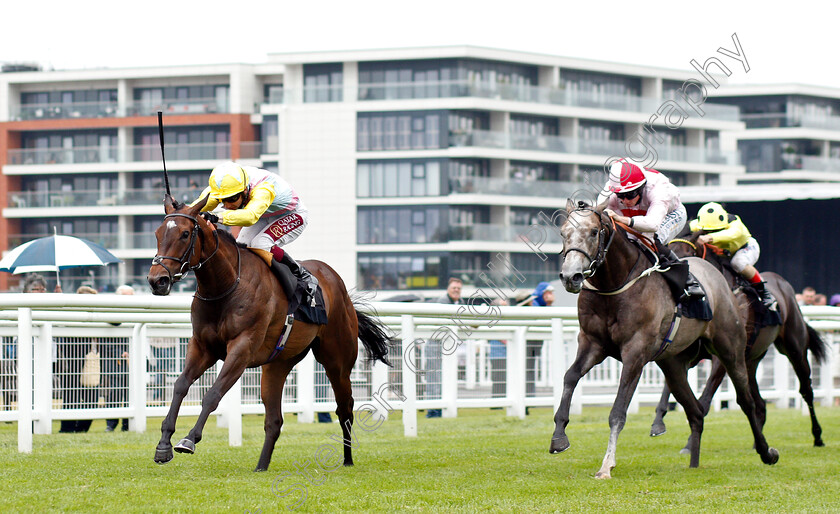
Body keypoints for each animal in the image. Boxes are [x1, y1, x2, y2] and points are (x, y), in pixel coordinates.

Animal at [147, 194, 390, 470]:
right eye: (157, 233)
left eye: (185, 234)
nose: (157, 280)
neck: (226, 285)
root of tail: (337, 283)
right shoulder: (202, 346)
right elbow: (180, 385)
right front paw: (163, 444)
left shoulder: (241, 349)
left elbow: (212, 394)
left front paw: (189, 439)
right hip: (277, 364)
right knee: (274, 420)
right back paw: (261, 466)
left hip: (337, 359)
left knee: (345, 407)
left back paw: (347, 459)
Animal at [556, 199, 776, 476]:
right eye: (563, 233)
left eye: (594, 232)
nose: (570, 276)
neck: (614, 286)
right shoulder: (592, 343)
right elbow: (570, 376)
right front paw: (558, 437)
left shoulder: (635, 352)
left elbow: (618, 411)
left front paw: (606, 465)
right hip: (673, 365)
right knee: (696, 411)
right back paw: (693, 462)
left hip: (731, 351)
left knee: (746, 402)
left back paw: (766, 452)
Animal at [648, 230, 828, 446]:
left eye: (686, 253)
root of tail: (784, 285)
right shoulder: (688, 353)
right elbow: (671, 387)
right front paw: (658, 422)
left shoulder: (722, 357)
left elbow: (704, 400)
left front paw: (690, 443)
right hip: (750, 361)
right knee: (760, 402)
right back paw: (759, 441)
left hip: (794, 347)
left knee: (806, 390)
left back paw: (817, 435)